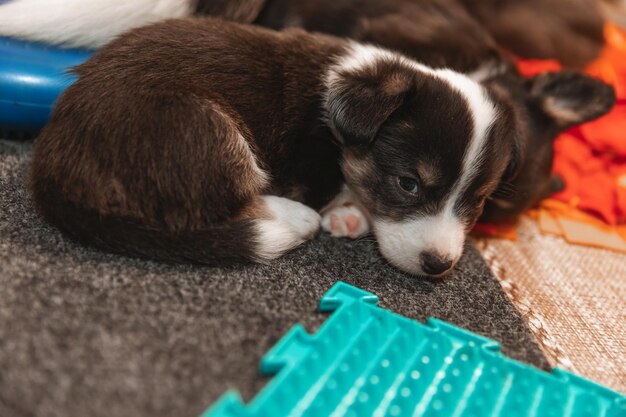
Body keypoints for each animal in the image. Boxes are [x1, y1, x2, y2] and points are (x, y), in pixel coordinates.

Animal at [34, 17, 520, 276]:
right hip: (205, 130)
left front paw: (351, 216)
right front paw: (344, 213)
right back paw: (294, 220)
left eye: (478, 203)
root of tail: (50, 160)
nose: (439, 266)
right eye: (408, 184)